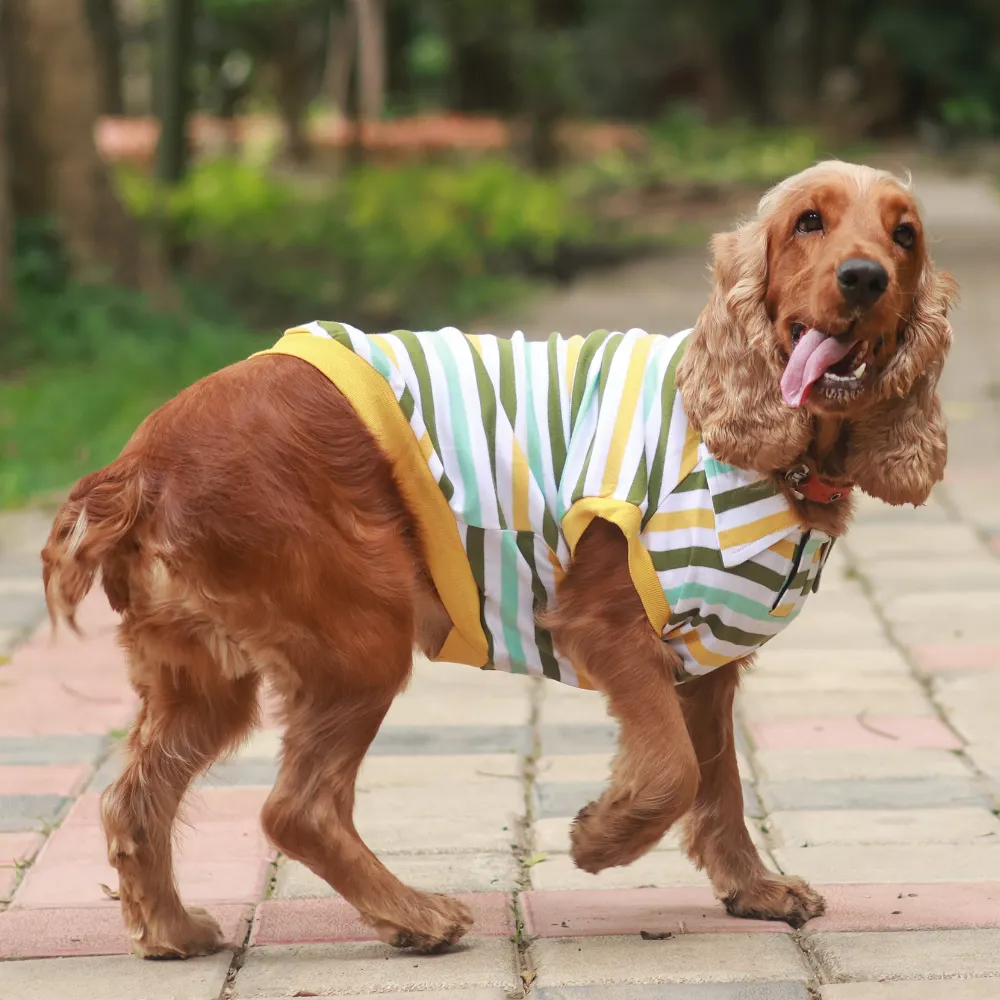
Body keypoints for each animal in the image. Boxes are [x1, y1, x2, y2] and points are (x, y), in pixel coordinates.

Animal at [45, 164, 952, 960]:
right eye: (809, 222)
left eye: (904, 234)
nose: (865, 277)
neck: (777, 452)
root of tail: (141, 462)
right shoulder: (611, 621)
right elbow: (673, 771)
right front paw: (600, 839)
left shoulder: (707, 664)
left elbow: (718, 785)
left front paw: (754, 890)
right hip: (361, 637)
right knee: (295, 809)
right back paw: (416, 917)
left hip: (209, 677)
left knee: (134, 799)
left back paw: (173, 931)